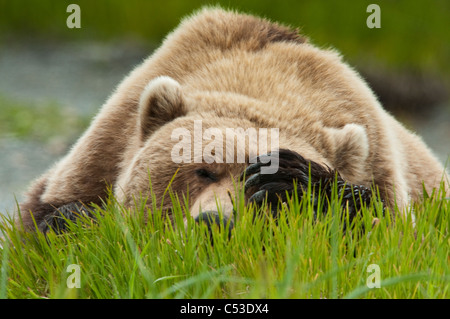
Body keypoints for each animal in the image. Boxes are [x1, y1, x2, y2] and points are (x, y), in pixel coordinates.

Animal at [16, 7, 446, 232]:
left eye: (251, 180)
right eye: (203, 170)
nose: (214, 222)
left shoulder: (380, 168)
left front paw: (292, 180)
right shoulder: (103, 150)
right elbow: (45, 212)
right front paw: (73, 219)